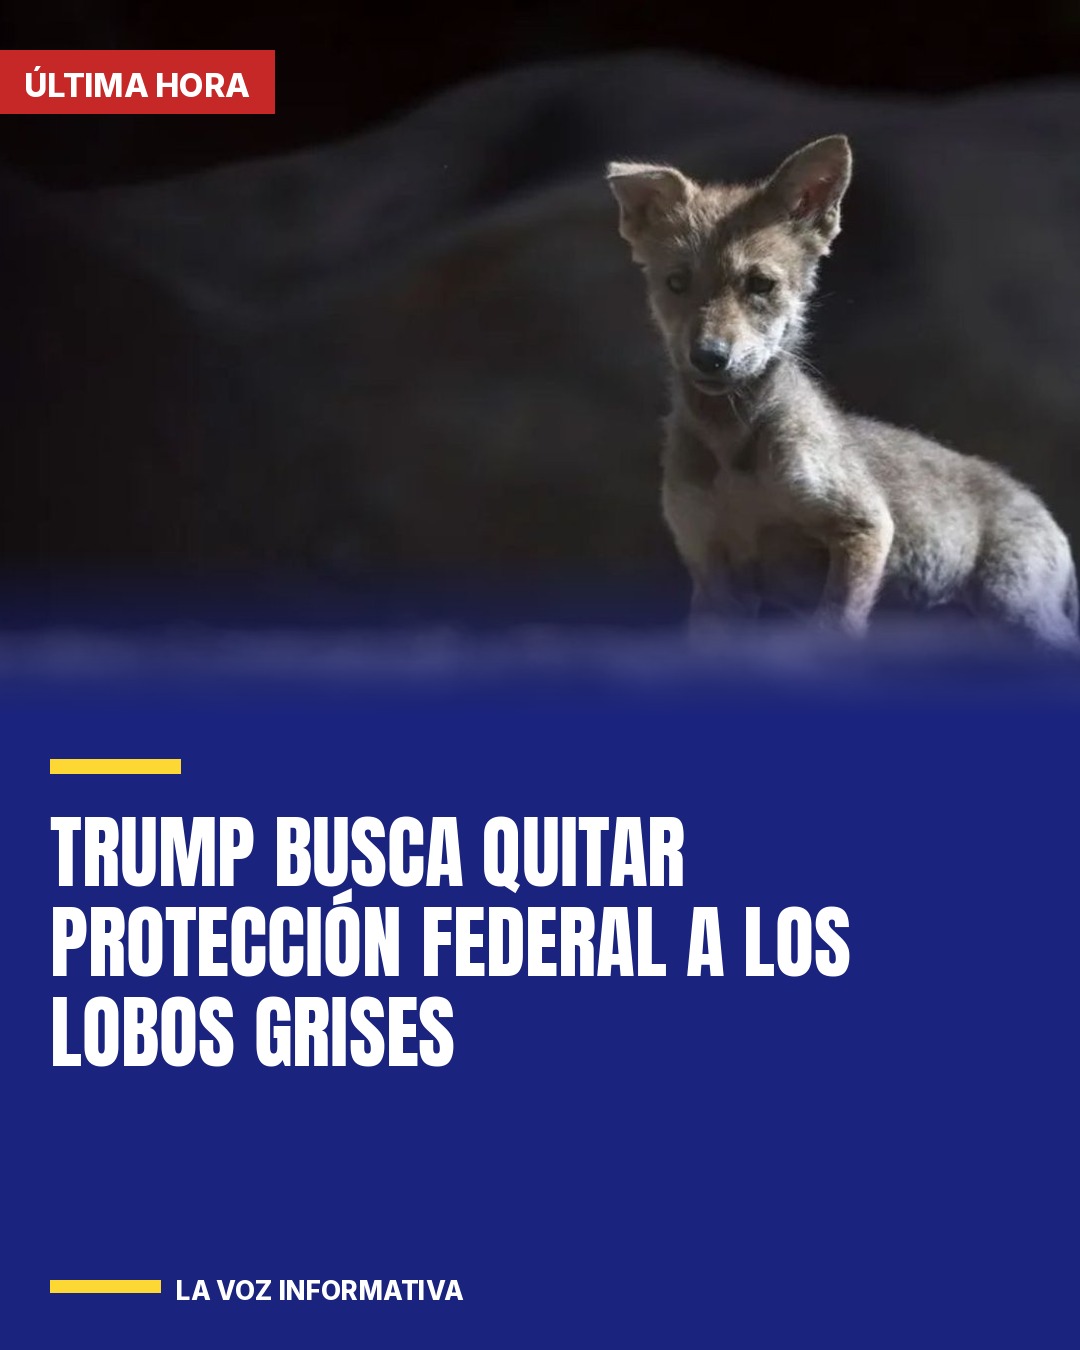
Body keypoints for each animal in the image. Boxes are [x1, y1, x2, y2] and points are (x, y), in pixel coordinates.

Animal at [607, 137, 1079, 649]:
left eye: (760, 285)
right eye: (676, 282)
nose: (710, 357)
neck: (732, 449)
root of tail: (1045, 512)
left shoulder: (863, 525)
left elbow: (833, 625)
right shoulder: (713, 571)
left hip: (1015, 604)